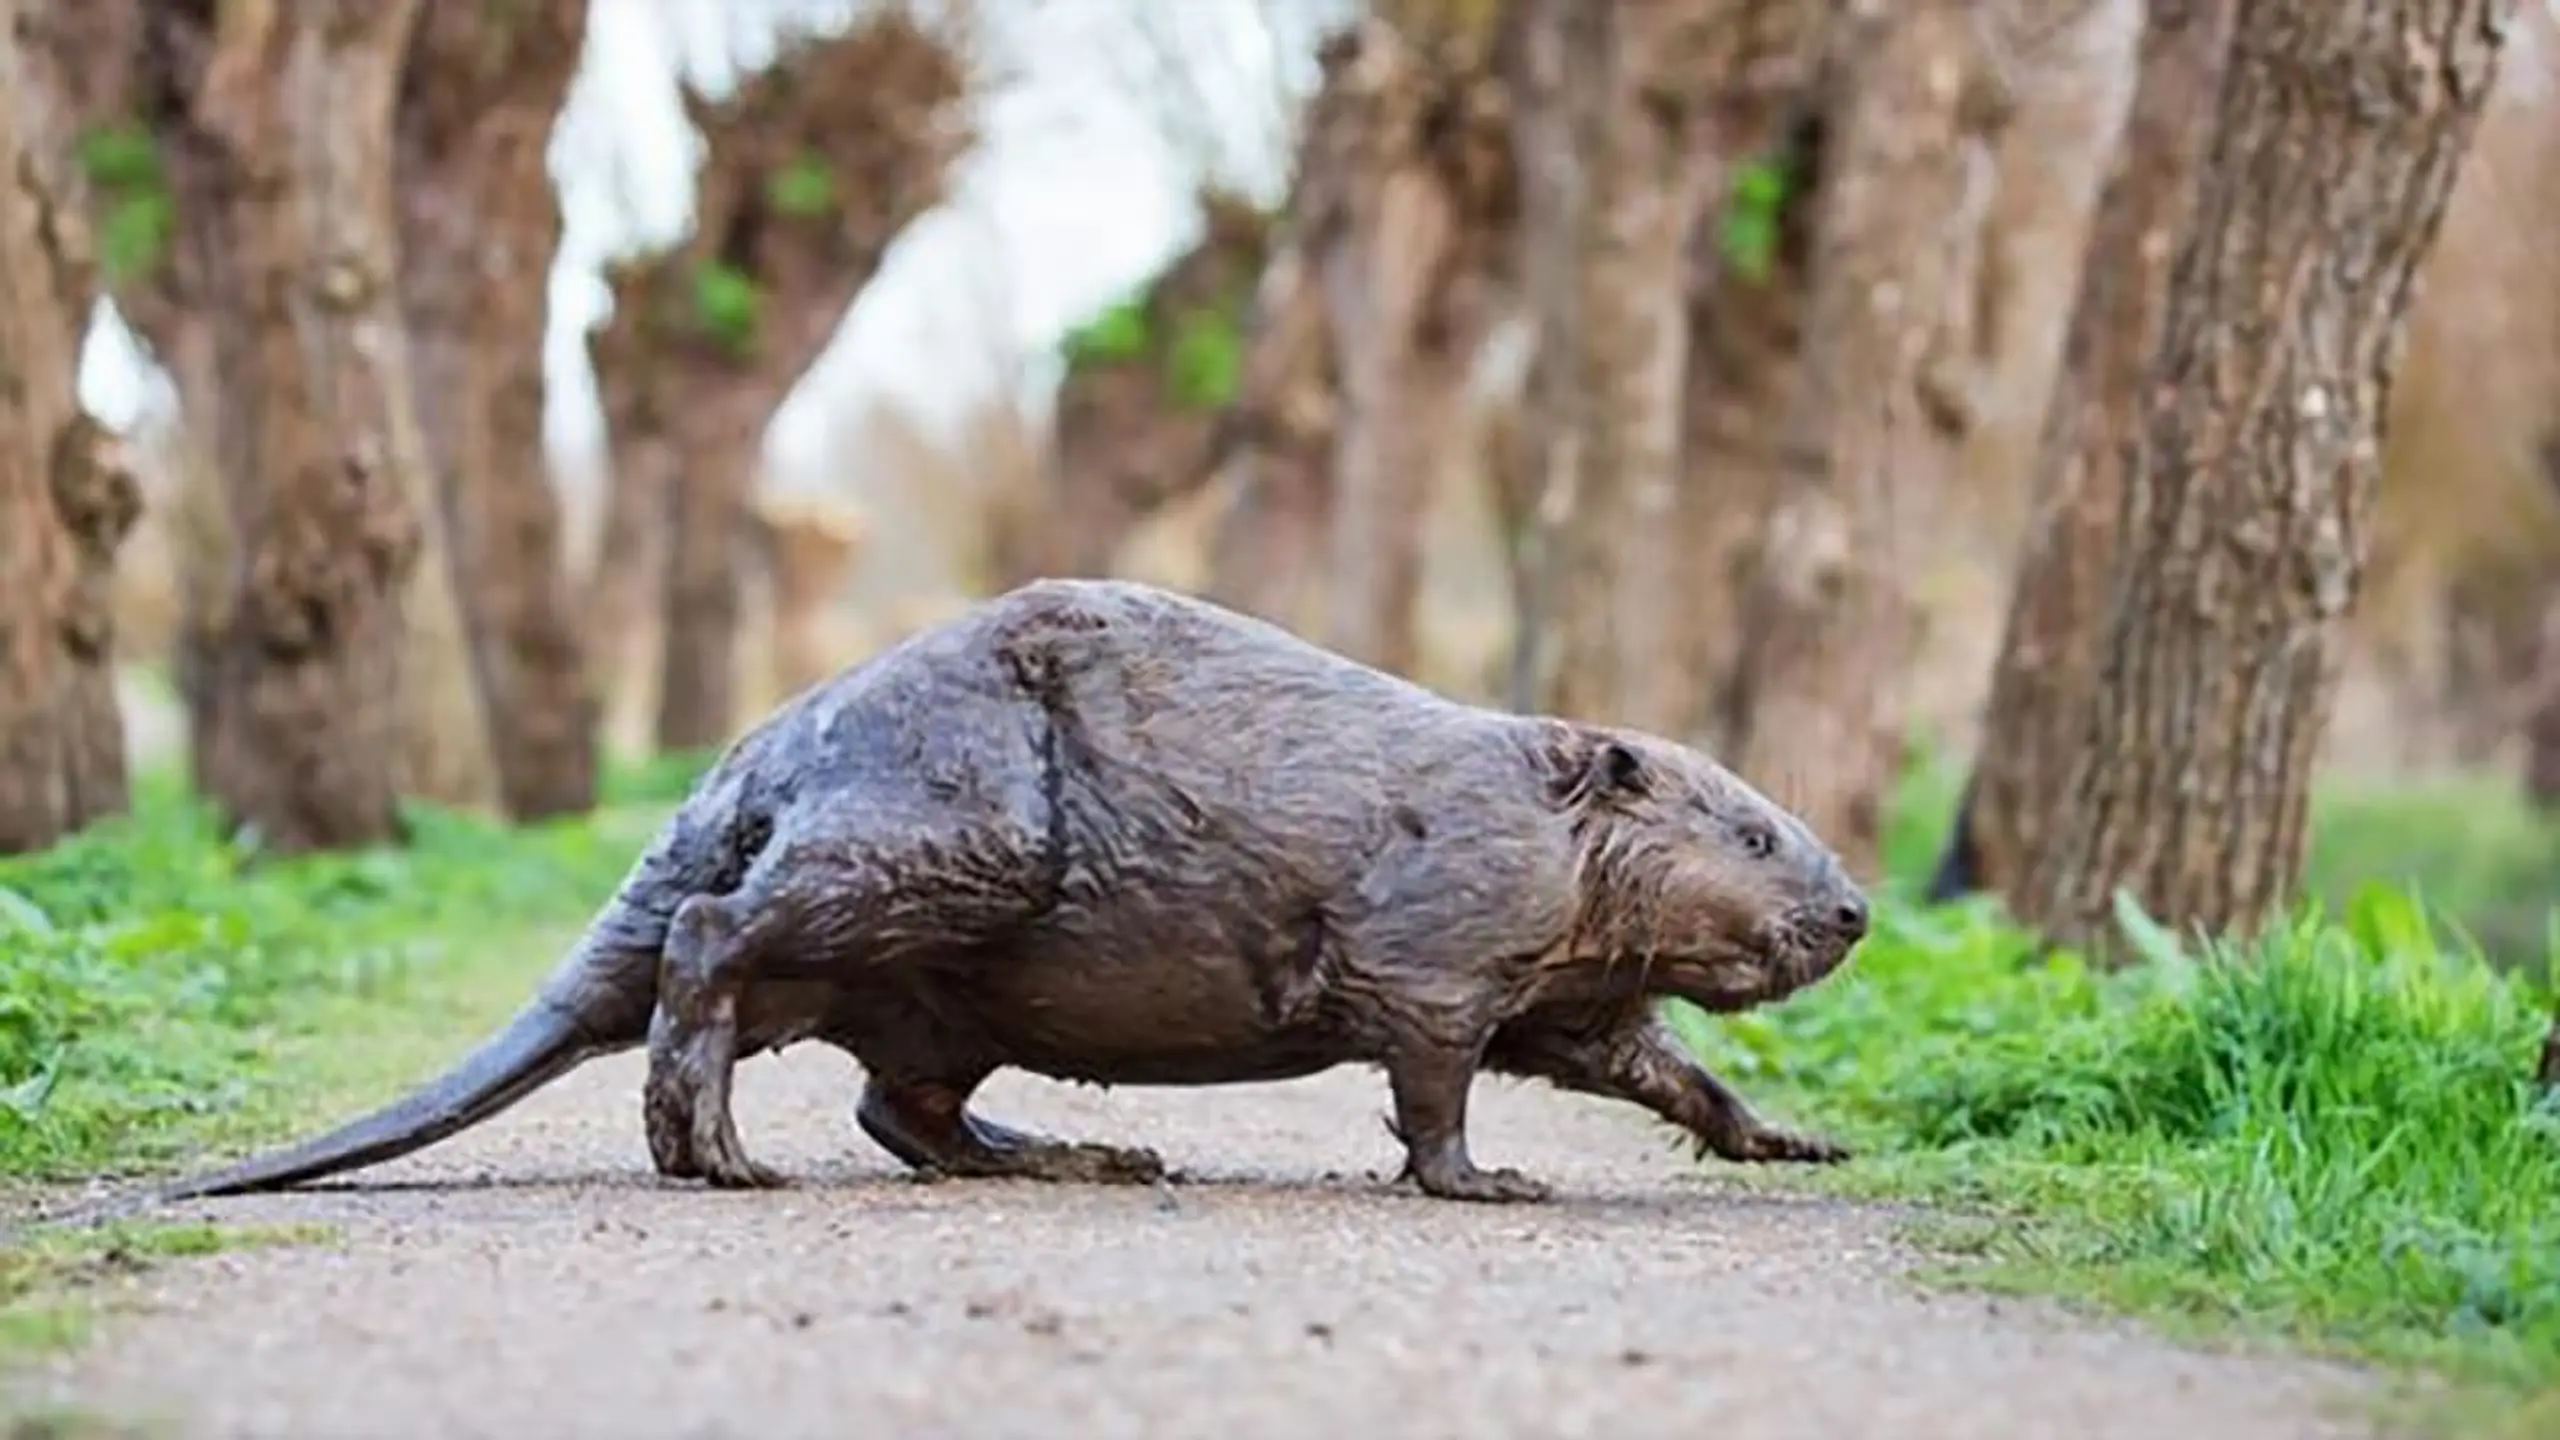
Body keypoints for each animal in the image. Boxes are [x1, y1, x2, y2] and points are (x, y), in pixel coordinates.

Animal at [160, 571, 1884, 1199]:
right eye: (1753, 833)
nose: (1856, 909)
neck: (1516, 802)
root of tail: (738, 778)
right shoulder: (1438, 937)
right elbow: (1435, 1077)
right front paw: (1488, 1181)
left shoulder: (1567, 984)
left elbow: (1643, 1061)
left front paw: (1800, 1137)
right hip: (951, 838)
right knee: (716, 944)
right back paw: (714, 1149)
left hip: (943, 972)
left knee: (902, 1104)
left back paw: (1079, 1154)